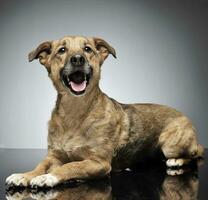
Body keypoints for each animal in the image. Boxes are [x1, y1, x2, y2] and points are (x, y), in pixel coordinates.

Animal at [5, 36, 203, 188]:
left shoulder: (99, 163)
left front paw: (49, 177)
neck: (74, 112)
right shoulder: (53, 155)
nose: (78, 59)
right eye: (62, 50)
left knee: (196, 153)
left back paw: (177, 160)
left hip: (170, 145)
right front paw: (25, 175)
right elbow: (40, 165)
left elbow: (71, 166)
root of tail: (184, 116)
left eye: (87, 49)